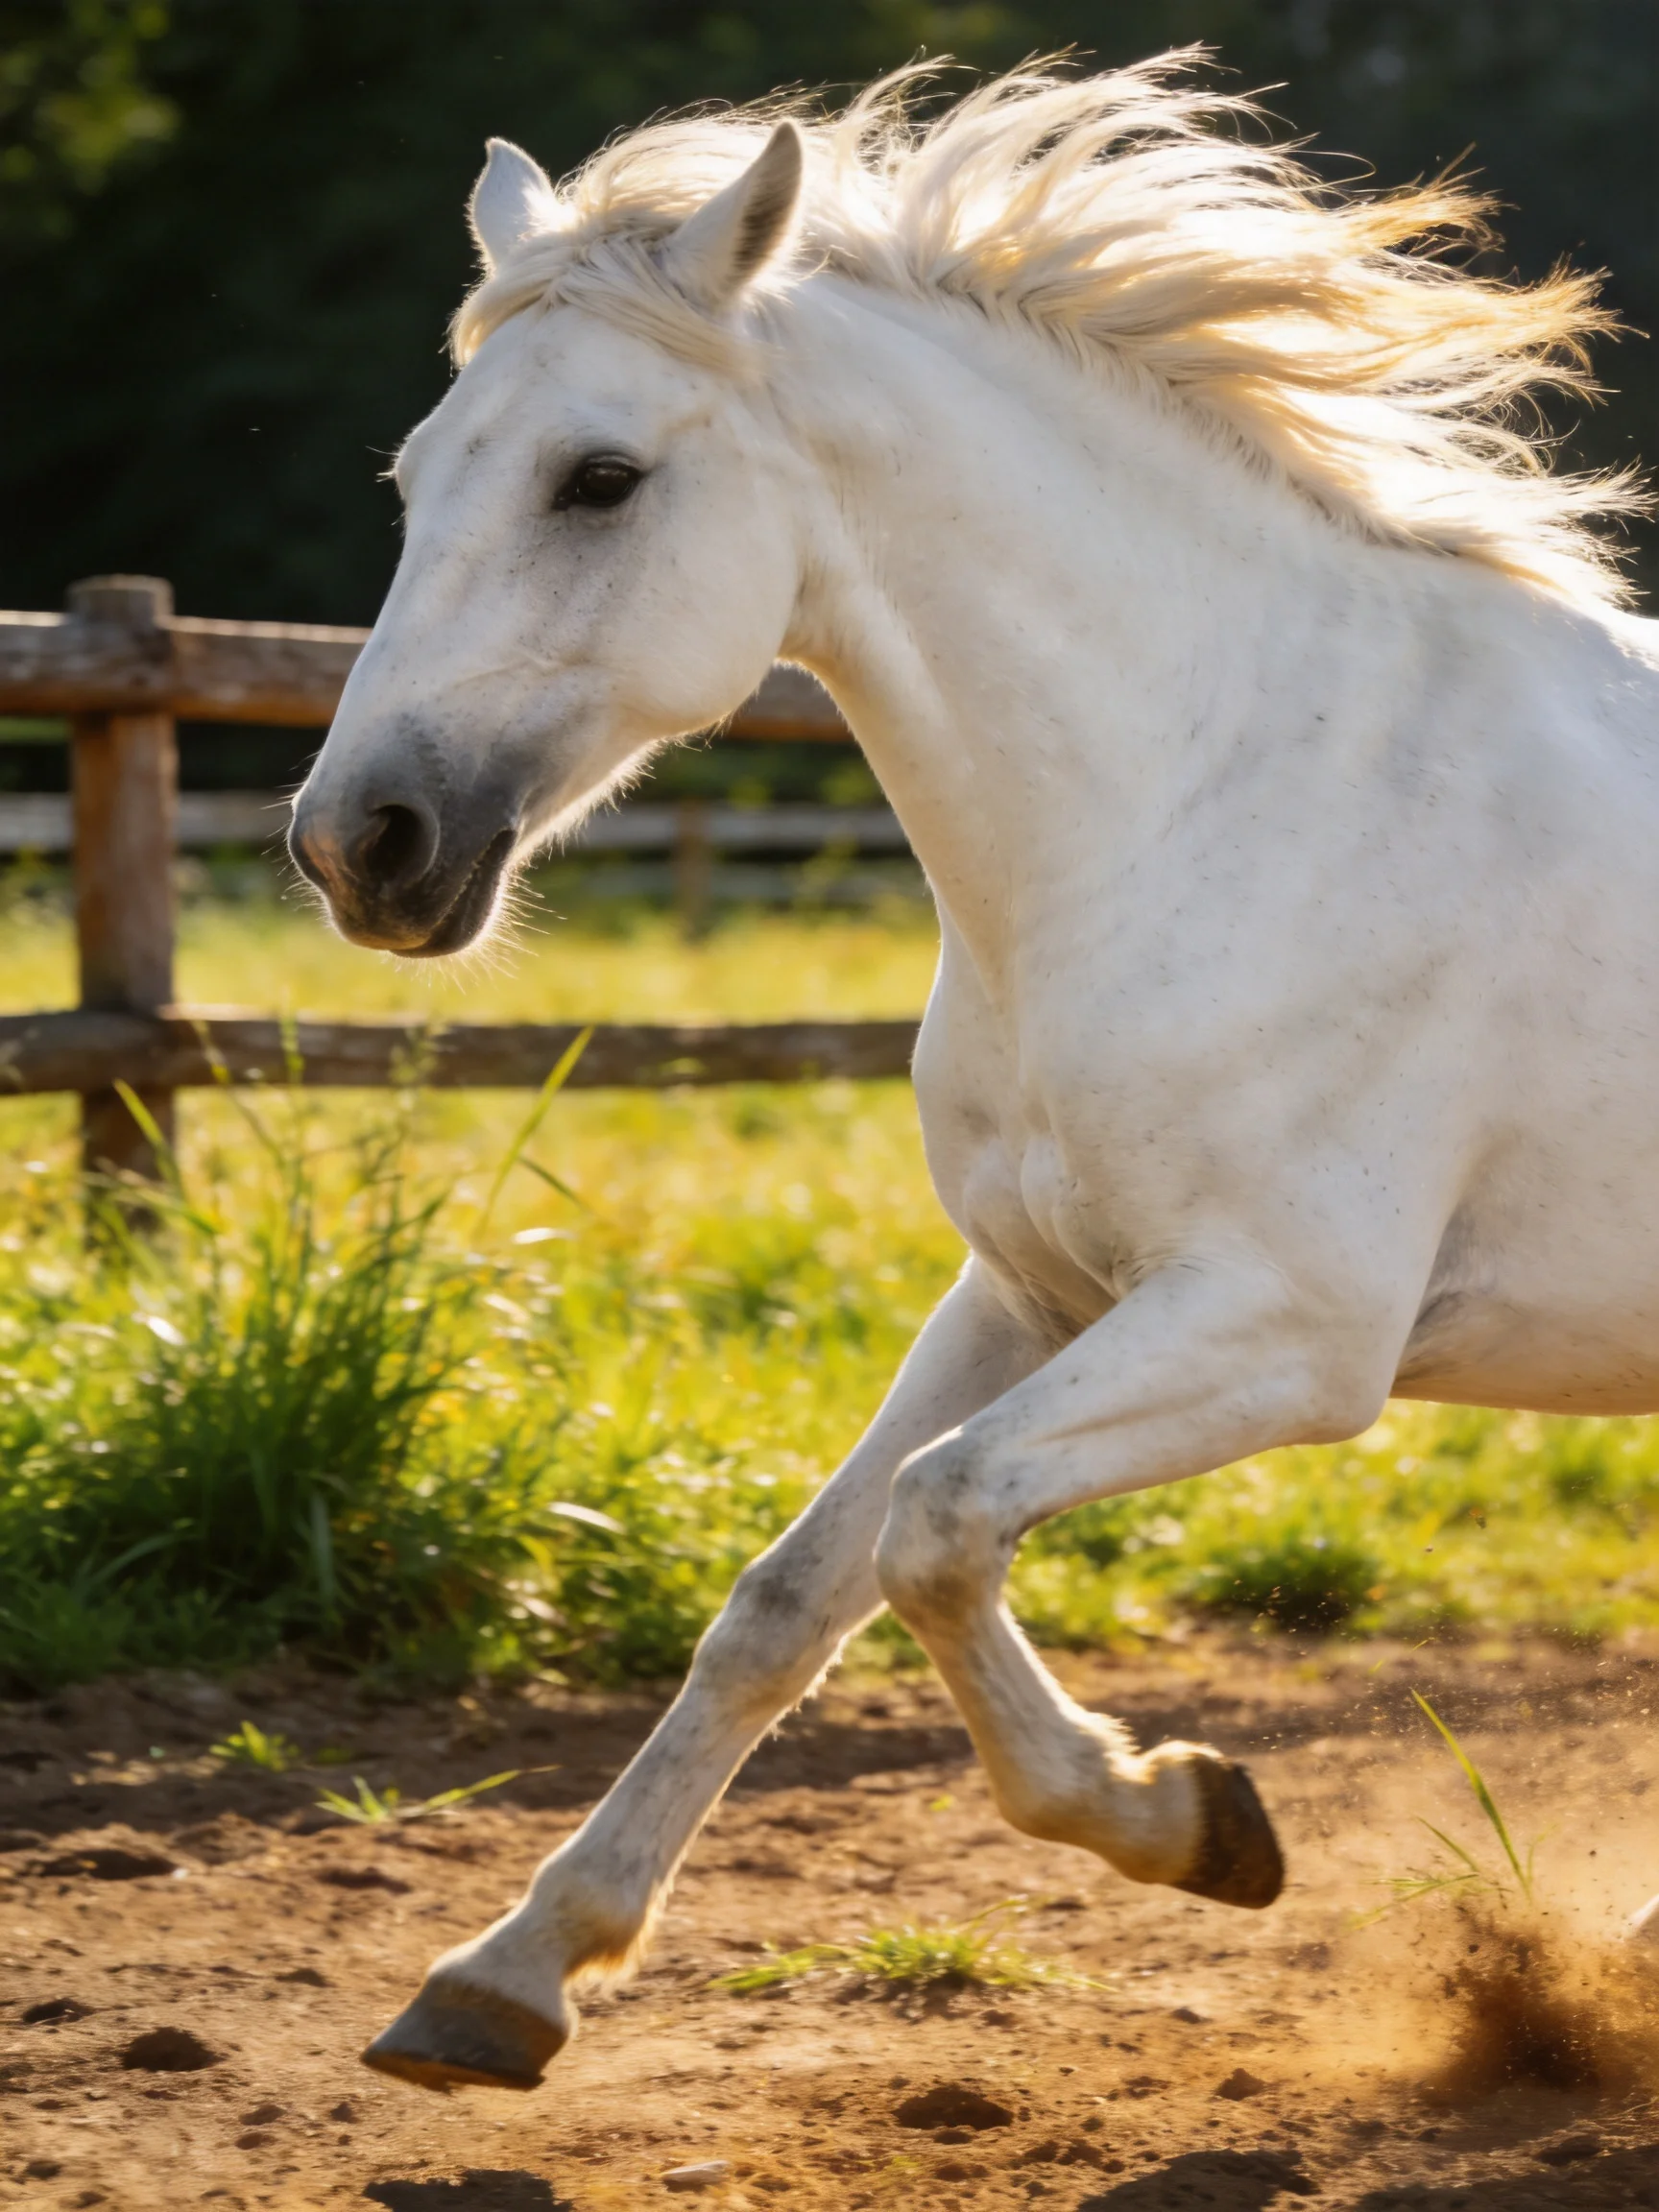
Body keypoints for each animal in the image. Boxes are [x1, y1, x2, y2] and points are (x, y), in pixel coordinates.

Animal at [287, 53, 1659, 2093]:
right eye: (412, 475)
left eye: (598, 476)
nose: (356, 842)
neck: (1219, 786)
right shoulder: (1026, 1289)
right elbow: (786, 1595)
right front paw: (503, 1976)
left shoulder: (1288, 1326)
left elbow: (937, 1525)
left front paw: (1189, 1815)